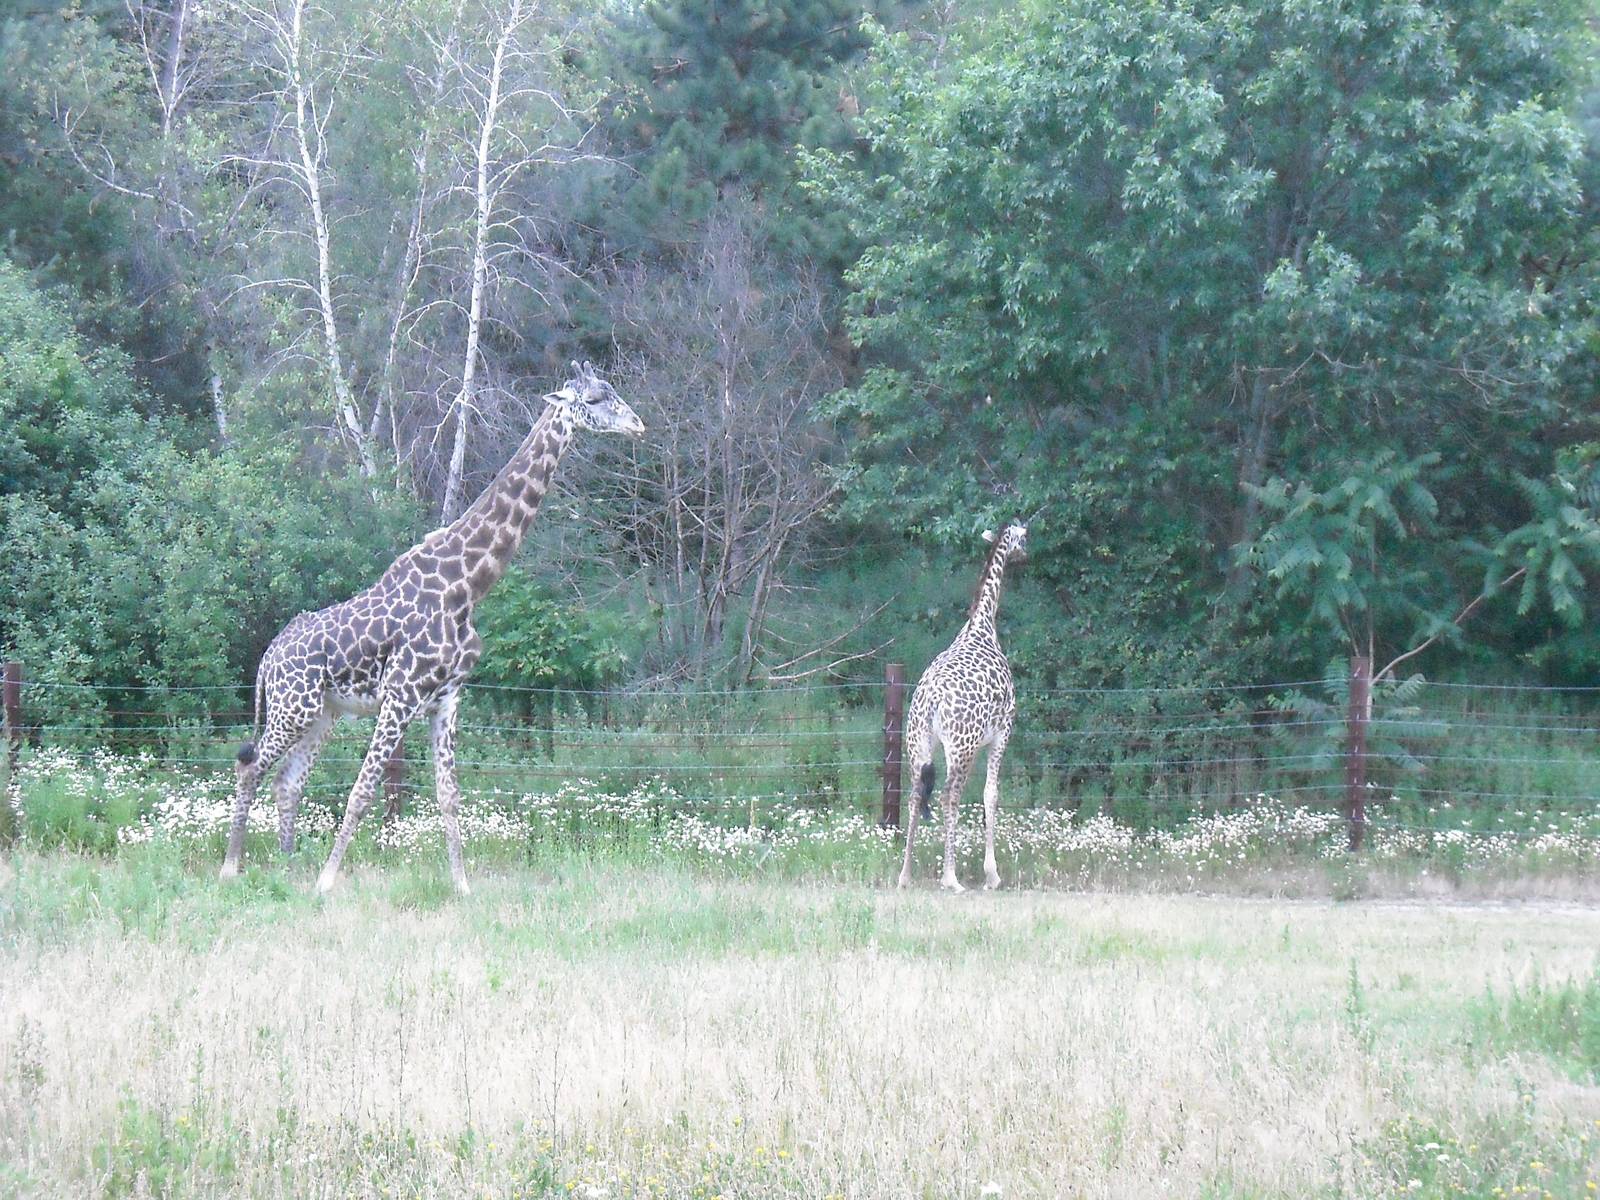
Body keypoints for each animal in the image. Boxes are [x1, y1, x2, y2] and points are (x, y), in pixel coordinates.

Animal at [219, 361, 643, 895]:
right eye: (593, 399)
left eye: (613, 391)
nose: (638, 425)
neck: (466, 585)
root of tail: (267, 658)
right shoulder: (401, 695)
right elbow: (363, 790)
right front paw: (328, 882)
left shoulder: (446, 699)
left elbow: (448, 796)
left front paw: (462, 886)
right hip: (292, 709)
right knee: (250, 764)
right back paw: (234, 867)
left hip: (322, 713)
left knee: (287, 780)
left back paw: (289, 866)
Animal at [897, 521, 1027, 892]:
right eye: (1023, 538)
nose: (1025, 555)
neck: (981, 625)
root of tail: (932, 700)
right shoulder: (1002, 733)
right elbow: (990, 795)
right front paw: (992, 875)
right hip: (961, 746)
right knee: (948, 796)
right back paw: (951, 878)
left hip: (917, 742)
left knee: (915, 795)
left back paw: (904, 875)